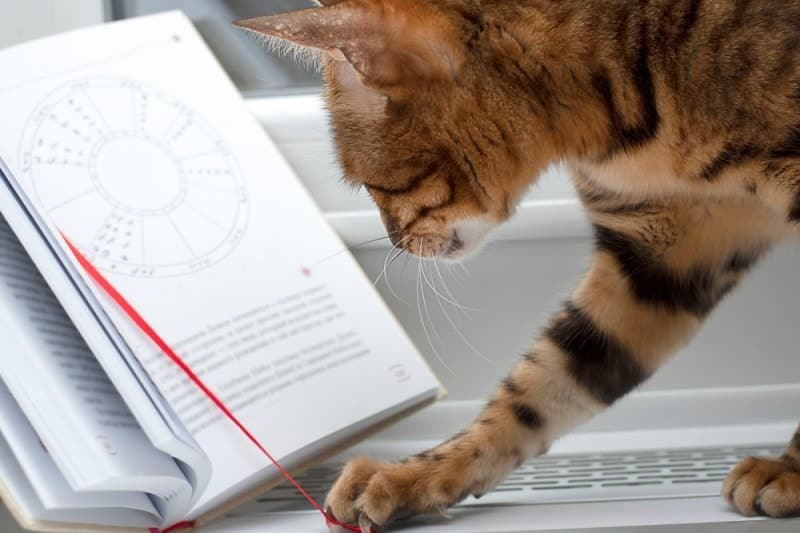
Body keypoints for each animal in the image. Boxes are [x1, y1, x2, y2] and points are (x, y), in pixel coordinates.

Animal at [233, 0, 800, 528]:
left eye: (372, 185)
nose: (395, 241)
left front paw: (790, 471)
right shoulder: (658, 260)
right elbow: (538, 391)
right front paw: (413, 475)